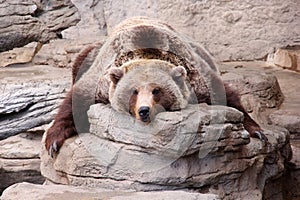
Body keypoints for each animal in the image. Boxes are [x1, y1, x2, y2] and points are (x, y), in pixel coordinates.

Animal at [45, 17, 268, 157]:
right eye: (133, 92)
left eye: (157, 91)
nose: (144, 111)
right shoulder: (103, 76)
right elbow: (77, 98)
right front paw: (53, 141)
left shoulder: (196, 78)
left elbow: (225, 94)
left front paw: (257, 131)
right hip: (89, 54)